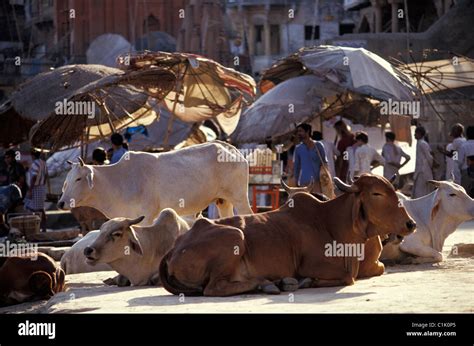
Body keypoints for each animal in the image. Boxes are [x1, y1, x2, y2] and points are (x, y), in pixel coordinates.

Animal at [57, 141, 254, 224]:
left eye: (78, 178)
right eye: (65, 182)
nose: (61, 203)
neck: (117, 181)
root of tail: (232, 149)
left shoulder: (146, 215)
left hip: (239, 197)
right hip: (223, 201)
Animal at [159, 174, 414, 296]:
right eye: (377, 193)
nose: (410, 224)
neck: (331, 222)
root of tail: (173, 249)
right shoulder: (311, 265)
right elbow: (346, 277)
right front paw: (306, 281)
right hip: (235, 237)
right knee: (213, 288)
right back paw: (269, 284)